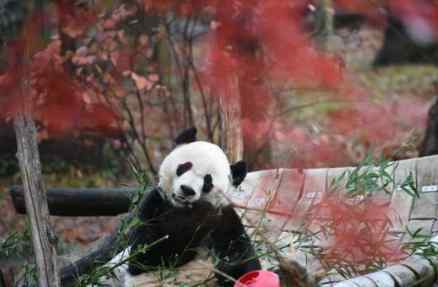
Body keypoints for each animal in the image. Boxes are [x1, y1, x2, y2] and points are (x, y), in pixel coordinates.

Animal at [57, 129, 260, 287]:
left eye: (208, 181)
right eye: (184, 167)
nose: (187, 190)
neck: (181, 209)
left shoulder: (225, 220)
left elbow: (241, 258)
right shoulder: (153, 206)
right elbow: (150, 252)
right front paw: (199, 217)